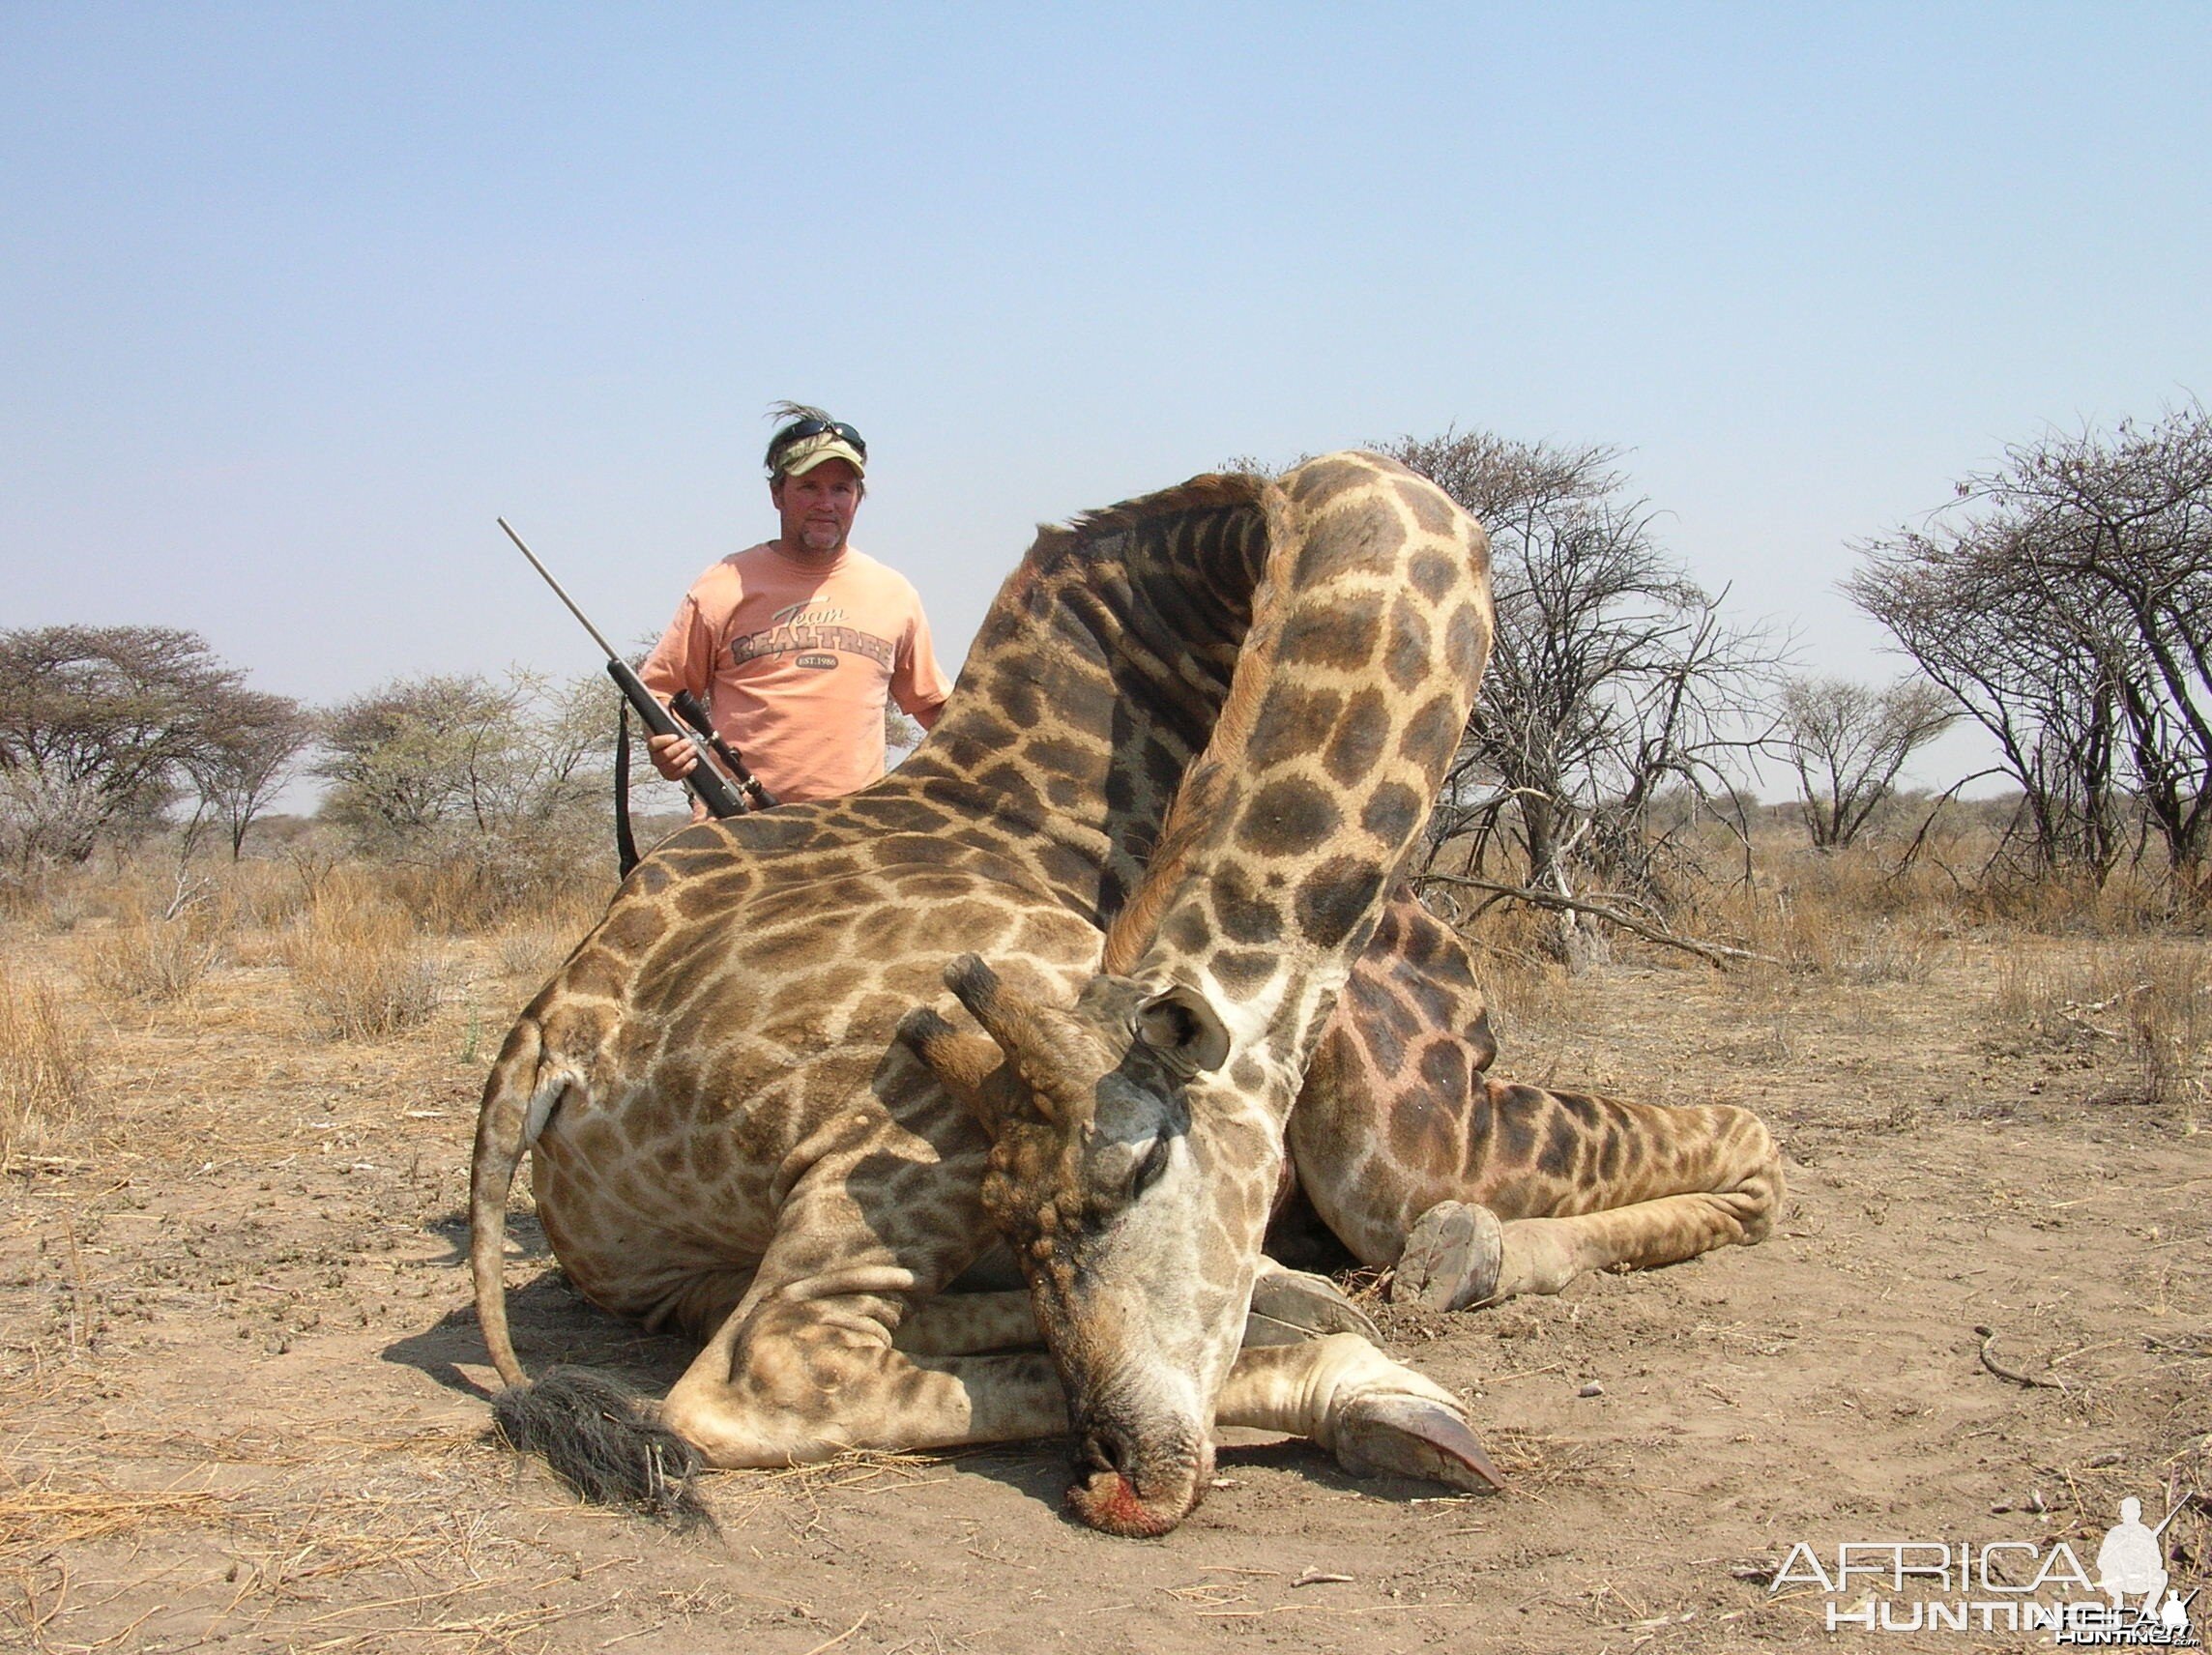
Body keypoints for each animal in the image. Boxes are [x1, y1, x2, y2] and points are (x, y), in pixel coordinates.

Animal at [475, 447, 1787, 1530]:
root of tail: (549, 1039)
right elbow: (1753, 1141)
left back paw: (1301, 1306)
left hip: (670, 1264)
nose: (1118, 1476)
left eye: (1142, 1166)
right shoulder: (1414, 1145)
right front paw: (1451, 1264)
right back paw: (1362, 1378)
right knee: (763, 1374)